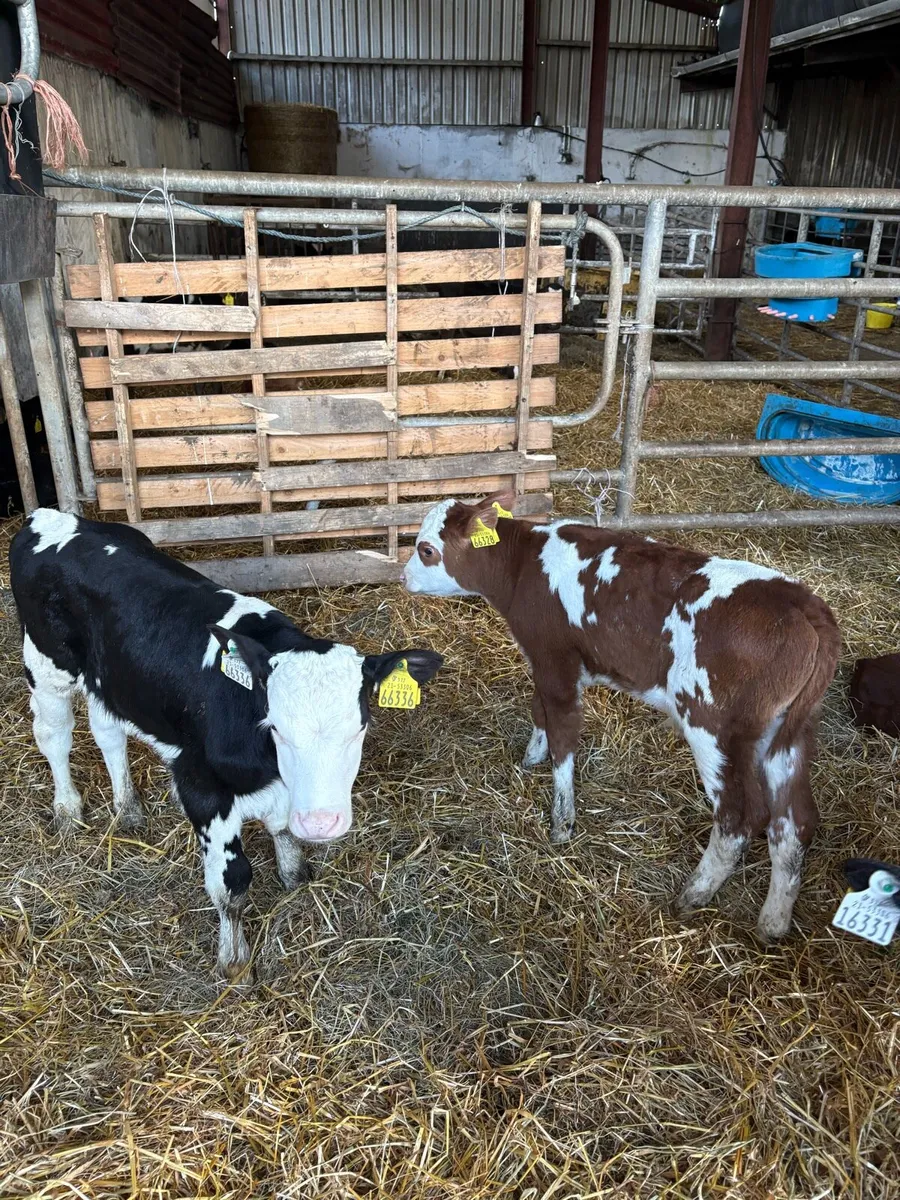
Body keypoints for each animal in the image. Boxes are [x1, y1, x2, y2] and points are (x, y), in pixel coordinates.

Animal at [10, 509, 443, 976]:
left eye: (359, 729)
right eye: (277, 728)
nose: (321, 823)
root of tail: (51, 516)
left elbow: (286, 839)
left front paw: (293, 878)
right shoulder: (201, 787)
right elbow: (232, 886)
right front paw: (234, 962)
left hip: (111, 681)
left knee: (107, 731)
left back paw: (127, 807)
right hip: (46, 665)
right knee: (54, 736)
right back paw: (68, 810)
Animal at [403, 491, 841, 942]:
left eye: (426, 550)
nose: (403, 578)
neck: (524, 565)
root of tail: (806, 606)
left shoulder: (555, 660)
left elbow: (563, 736)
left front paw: (562, 821)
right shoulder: (543, 663)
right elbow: (539, 710)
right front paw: (532, 757)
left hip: (712, 726)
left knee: (739, 818)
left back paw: (694, 893)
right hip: (788, 733)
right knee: (794, 823)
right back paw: (773, 921)